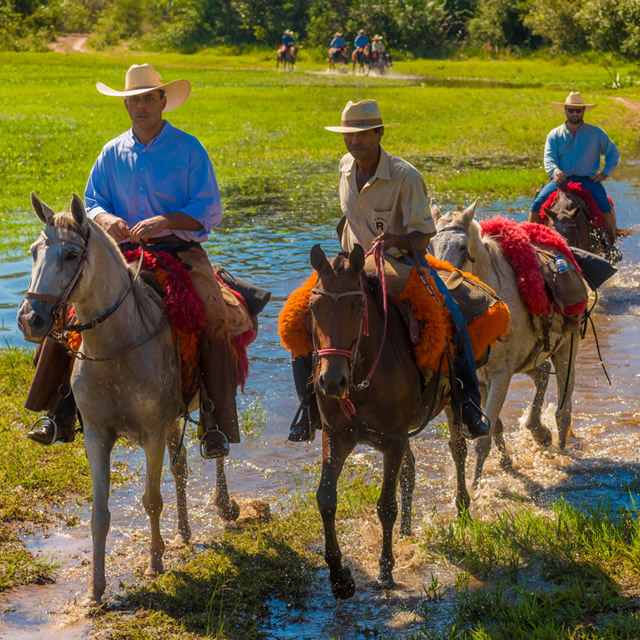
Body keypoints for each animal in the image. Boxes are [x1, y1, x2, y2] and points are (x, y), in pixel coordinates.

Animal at [19, 192, 240, 604]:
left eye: (71, 255)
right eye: (34, 252)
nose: (30, 319)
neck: (117, 348)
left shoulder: (151, 432)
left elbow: (151, 500)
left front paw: (155, 564)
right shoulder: (97, 435)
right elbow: (100, 514)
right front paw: (96, 590)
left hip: (206, 402)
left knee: (215, 443)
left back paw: (224, 505)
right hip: (171, 420)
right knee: (180, 467)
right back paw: (183, 532)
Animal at [308, 242, 462, 596]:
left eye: (358, 306)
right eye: (313, 306)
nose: (332, 381)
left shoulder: (393, 440)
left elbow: (385, 505)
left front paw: (385, 571)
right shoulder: (335, 436)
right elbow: (326, 499)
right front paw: (339, 576)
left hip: (455, 405)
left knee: (460, 451)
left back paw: (464, 509)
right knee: (411, 469)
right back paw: (407, 530)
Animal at [428, 199, 584, 484]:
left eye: (463, 248)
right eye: (430, 246)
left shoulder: (501, 374)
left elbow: (483, 440)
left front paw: (476, 487)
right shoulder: (480, 379)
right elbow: (495, 426)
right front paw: (505, 464)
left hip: (567, 351)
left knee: (563, 411)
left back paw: (560, 451)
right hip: (528, 359)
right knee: (541, 375)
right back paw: (538, 431)